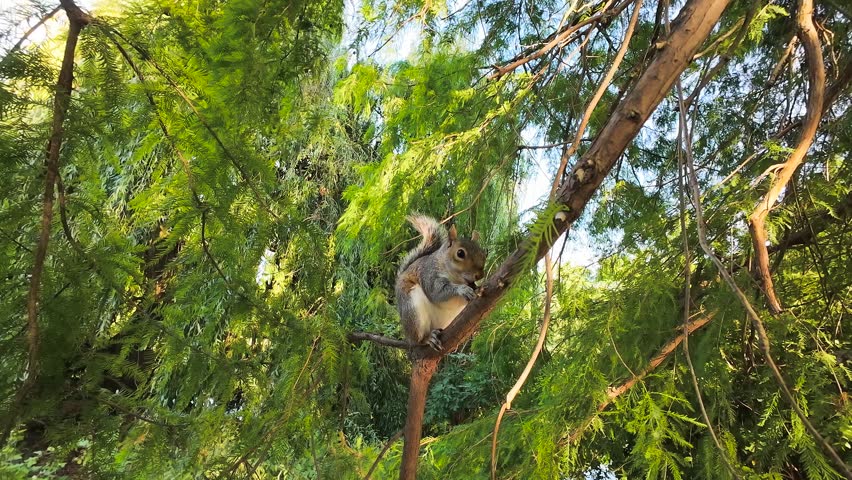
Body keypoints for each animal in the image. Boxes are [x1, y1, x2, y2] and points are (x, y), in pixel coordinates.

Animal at [395, 215, 486, 351]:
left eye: (483, 252)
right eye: (460, 253)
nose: (480, 275)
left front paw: (477, 288)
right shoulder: (429, 274)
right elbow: (436, 293)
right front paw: (462, 289)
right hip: (412, 309)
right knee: (418, 339)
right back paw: (427, 338)